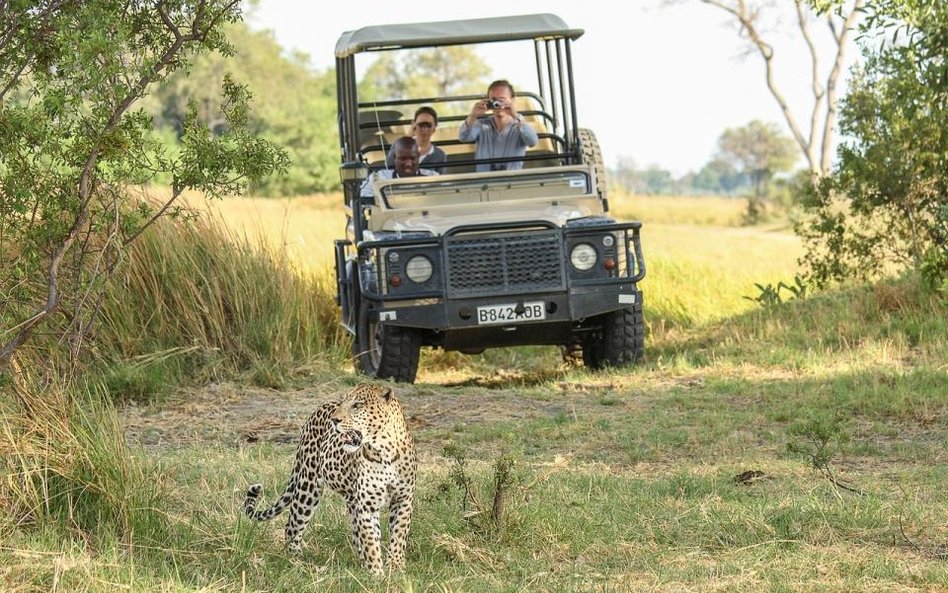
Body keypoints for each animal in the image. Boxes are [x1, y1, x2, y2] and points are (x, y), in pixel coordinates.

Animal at [241, 384, 414, 572]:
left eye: (358, 405)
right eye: (345, 402)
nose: (335, 420)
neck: (384, 451)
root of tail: (318, 409)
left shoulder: (403, 500)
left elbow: (398, 535)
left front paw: (395, 567)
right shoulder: (367, 505)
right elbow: (370, 540)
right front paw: (376, 571)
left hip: (350, 499)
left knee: (355, 532)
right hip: (308, 486)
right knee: (291, 526)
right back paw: (295, 560)